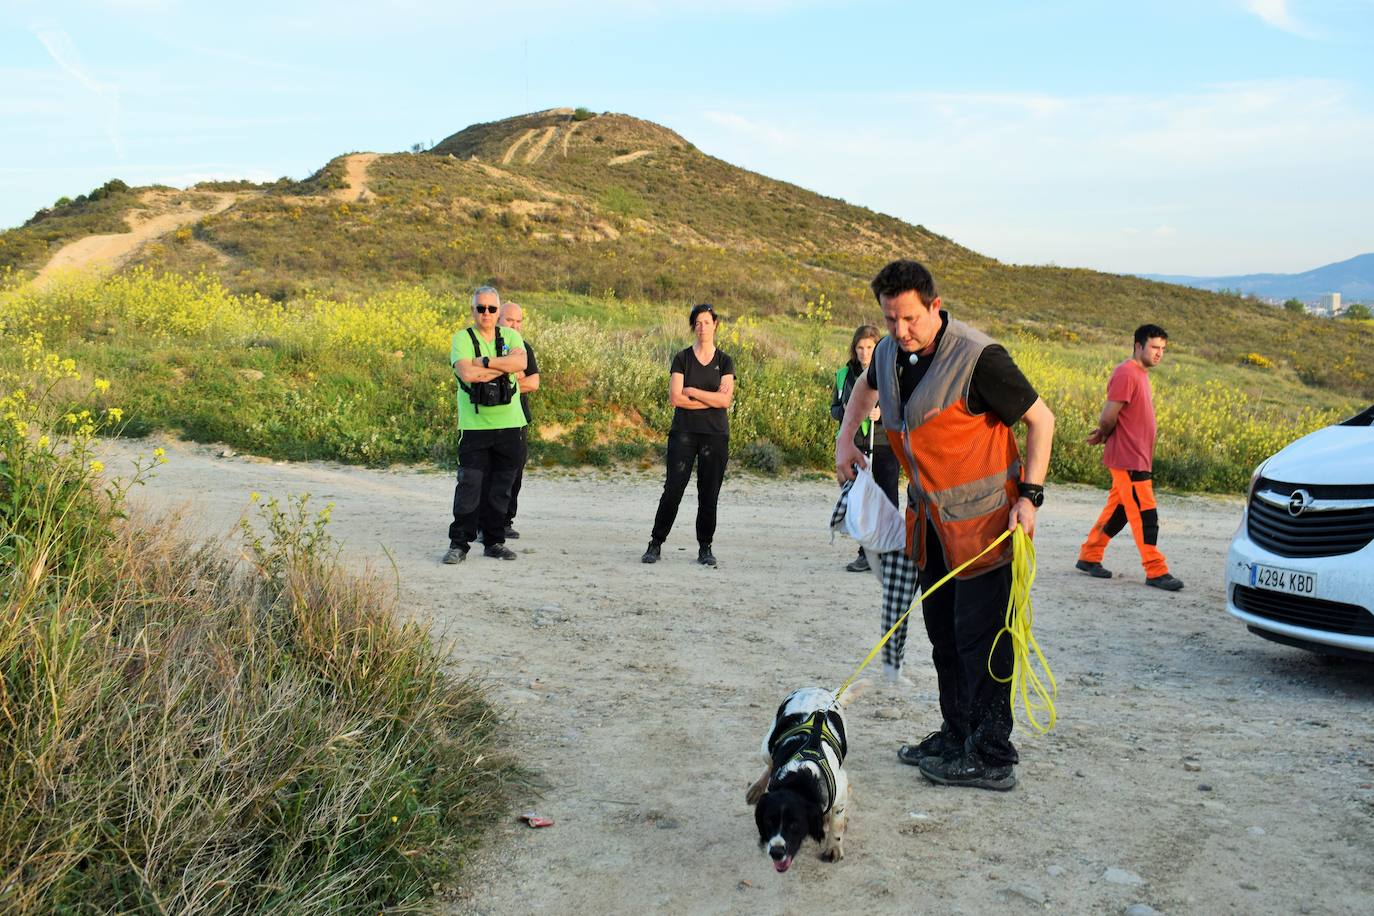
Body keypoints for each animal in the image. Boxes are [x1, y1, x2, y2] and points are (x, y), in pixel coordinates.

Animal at [747, 686, 851, 873]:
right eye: (768, 821)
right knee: (769, 764)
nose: (776, 852)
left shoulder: (841, 789)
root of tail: (815, 689)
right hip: (766, 748)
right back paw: (756, 788)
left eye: (795, 824)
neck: (800, 777)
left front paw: (833, 847)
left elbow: (837, 822)